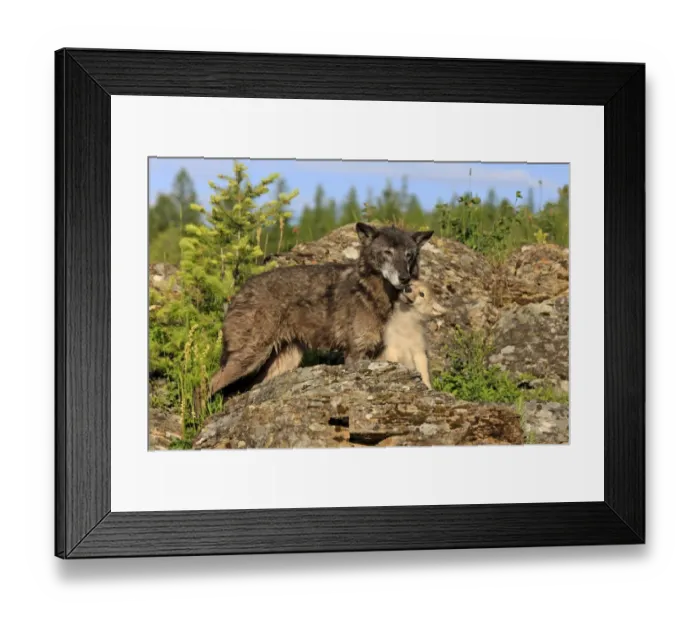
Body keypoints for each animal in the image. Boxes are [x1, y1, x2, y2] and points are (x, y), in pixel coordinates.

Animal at [209, 223, 434, 396]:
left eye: (409, 255)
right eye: (387, 252)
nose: (405, 279)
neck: (374, 296)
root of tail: (239, 291)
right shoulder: (355, 355)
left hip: (283, 363)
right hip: (248, 358)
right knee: (208, 385)